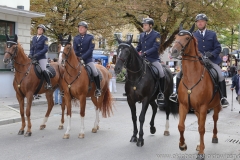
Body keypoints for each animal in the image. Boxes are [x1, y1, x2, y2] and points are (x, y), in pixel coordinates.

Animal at [171, 24, 221, 159]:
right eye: (176, 37)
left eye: (187, 38)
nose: (173, 51)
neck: (192, 76)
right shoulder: (183, 106)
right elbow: (181, 126)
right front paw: (182, 145)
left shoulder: (203, 107)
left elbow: (202, 129)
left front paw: (201, 152)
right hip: (197, 110)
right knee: (199, 123)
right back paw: (199, 145)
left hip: (215, 106)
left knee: (214, 119)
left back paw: (214, 137)